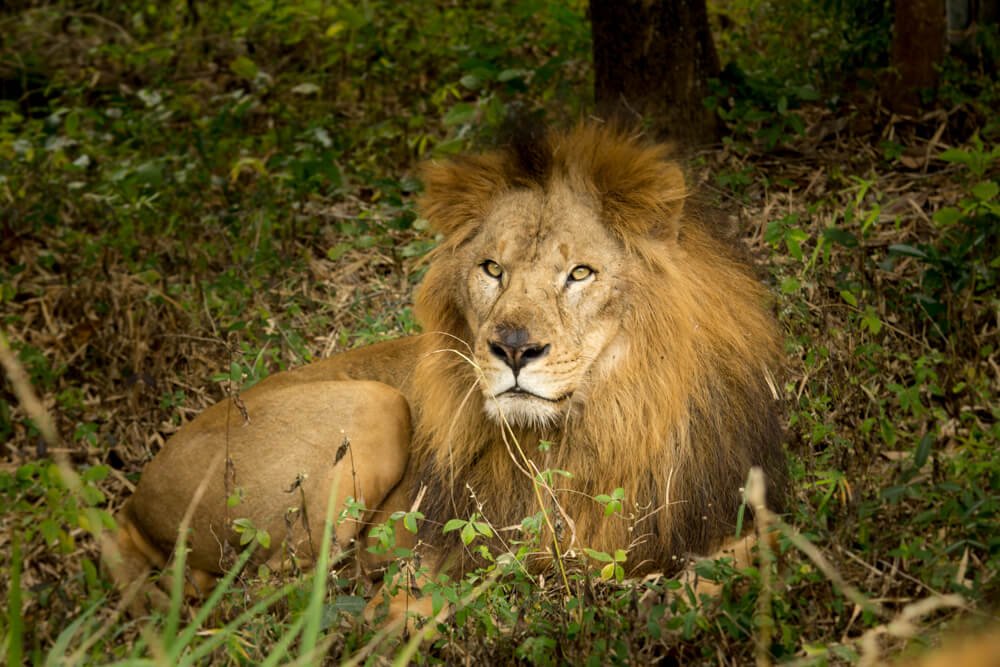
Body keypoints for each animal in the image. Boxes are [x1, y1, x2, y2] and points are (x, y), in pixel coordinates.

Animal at [102, 123, 787, 621]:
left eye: (580, 273)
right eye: (492, 269)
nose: (513, 349)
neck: (598, 425)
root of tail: (132, 502)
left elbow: (760, 552)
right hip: (372, 406)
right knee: (282, 594)